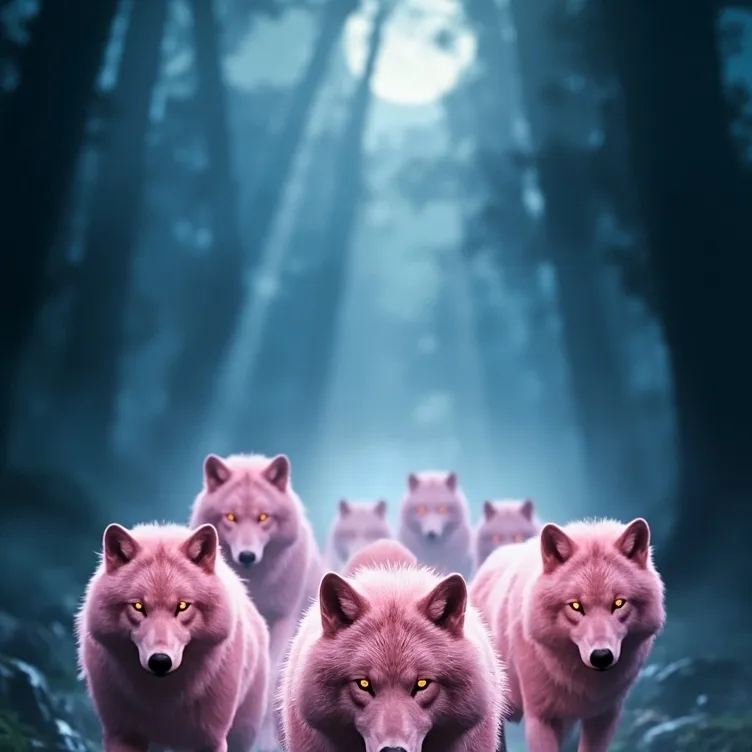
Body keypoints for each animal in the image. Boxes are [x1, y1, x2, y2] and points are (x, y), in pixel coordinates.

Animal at [76, 522, 269, 752]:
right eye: (138, 606)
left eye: (183, 606)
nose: (160, 661)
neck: (163, 698)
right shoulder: (122, 735)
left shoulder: (209, 741)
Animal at [469, 517, 666, 752]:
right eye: (576, 606)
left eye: (619, 603)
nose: (601, 656)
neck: (582, 682)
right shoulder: (541, 718)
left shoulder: (604, 716)